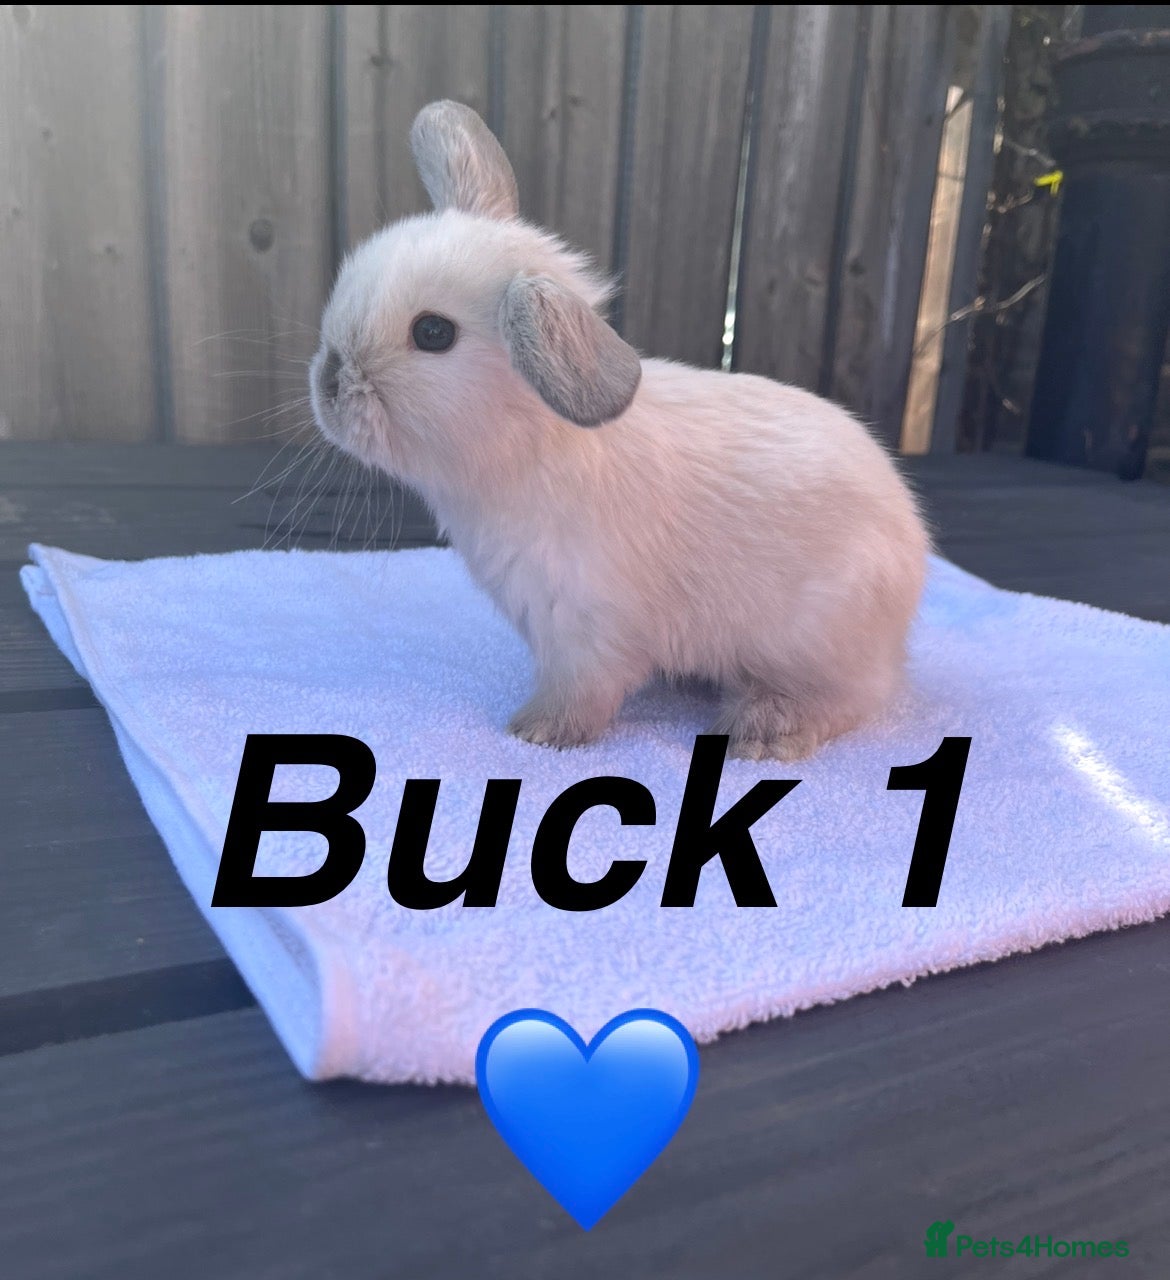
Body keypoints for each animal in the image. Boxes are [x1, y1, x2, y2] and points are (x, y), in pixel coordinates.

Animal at [309, 100, 929, 762]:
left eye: (432, 333)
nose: (329, 381)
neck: (528, 448)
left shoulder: (583, 634)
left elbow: (581, 695)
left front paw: (534, 733)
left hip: (817, 646)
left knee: (854, 699)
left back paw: (763, 729)